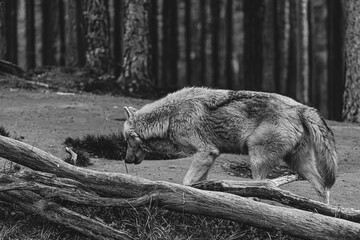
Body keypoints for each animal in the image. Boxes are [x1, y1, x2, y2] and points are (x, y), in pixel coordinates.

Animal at [123, 87, 338, 203]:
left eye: (126, 140)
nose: (125, 159)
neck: (169, 116)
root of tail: (301, 107)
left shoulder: (206, 153)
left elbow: (186, 183)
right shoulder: (208, 157)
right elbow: (198, 183)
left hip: (257, 158)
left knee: (264, 185)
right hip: (298, 163)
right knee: (323, 187)